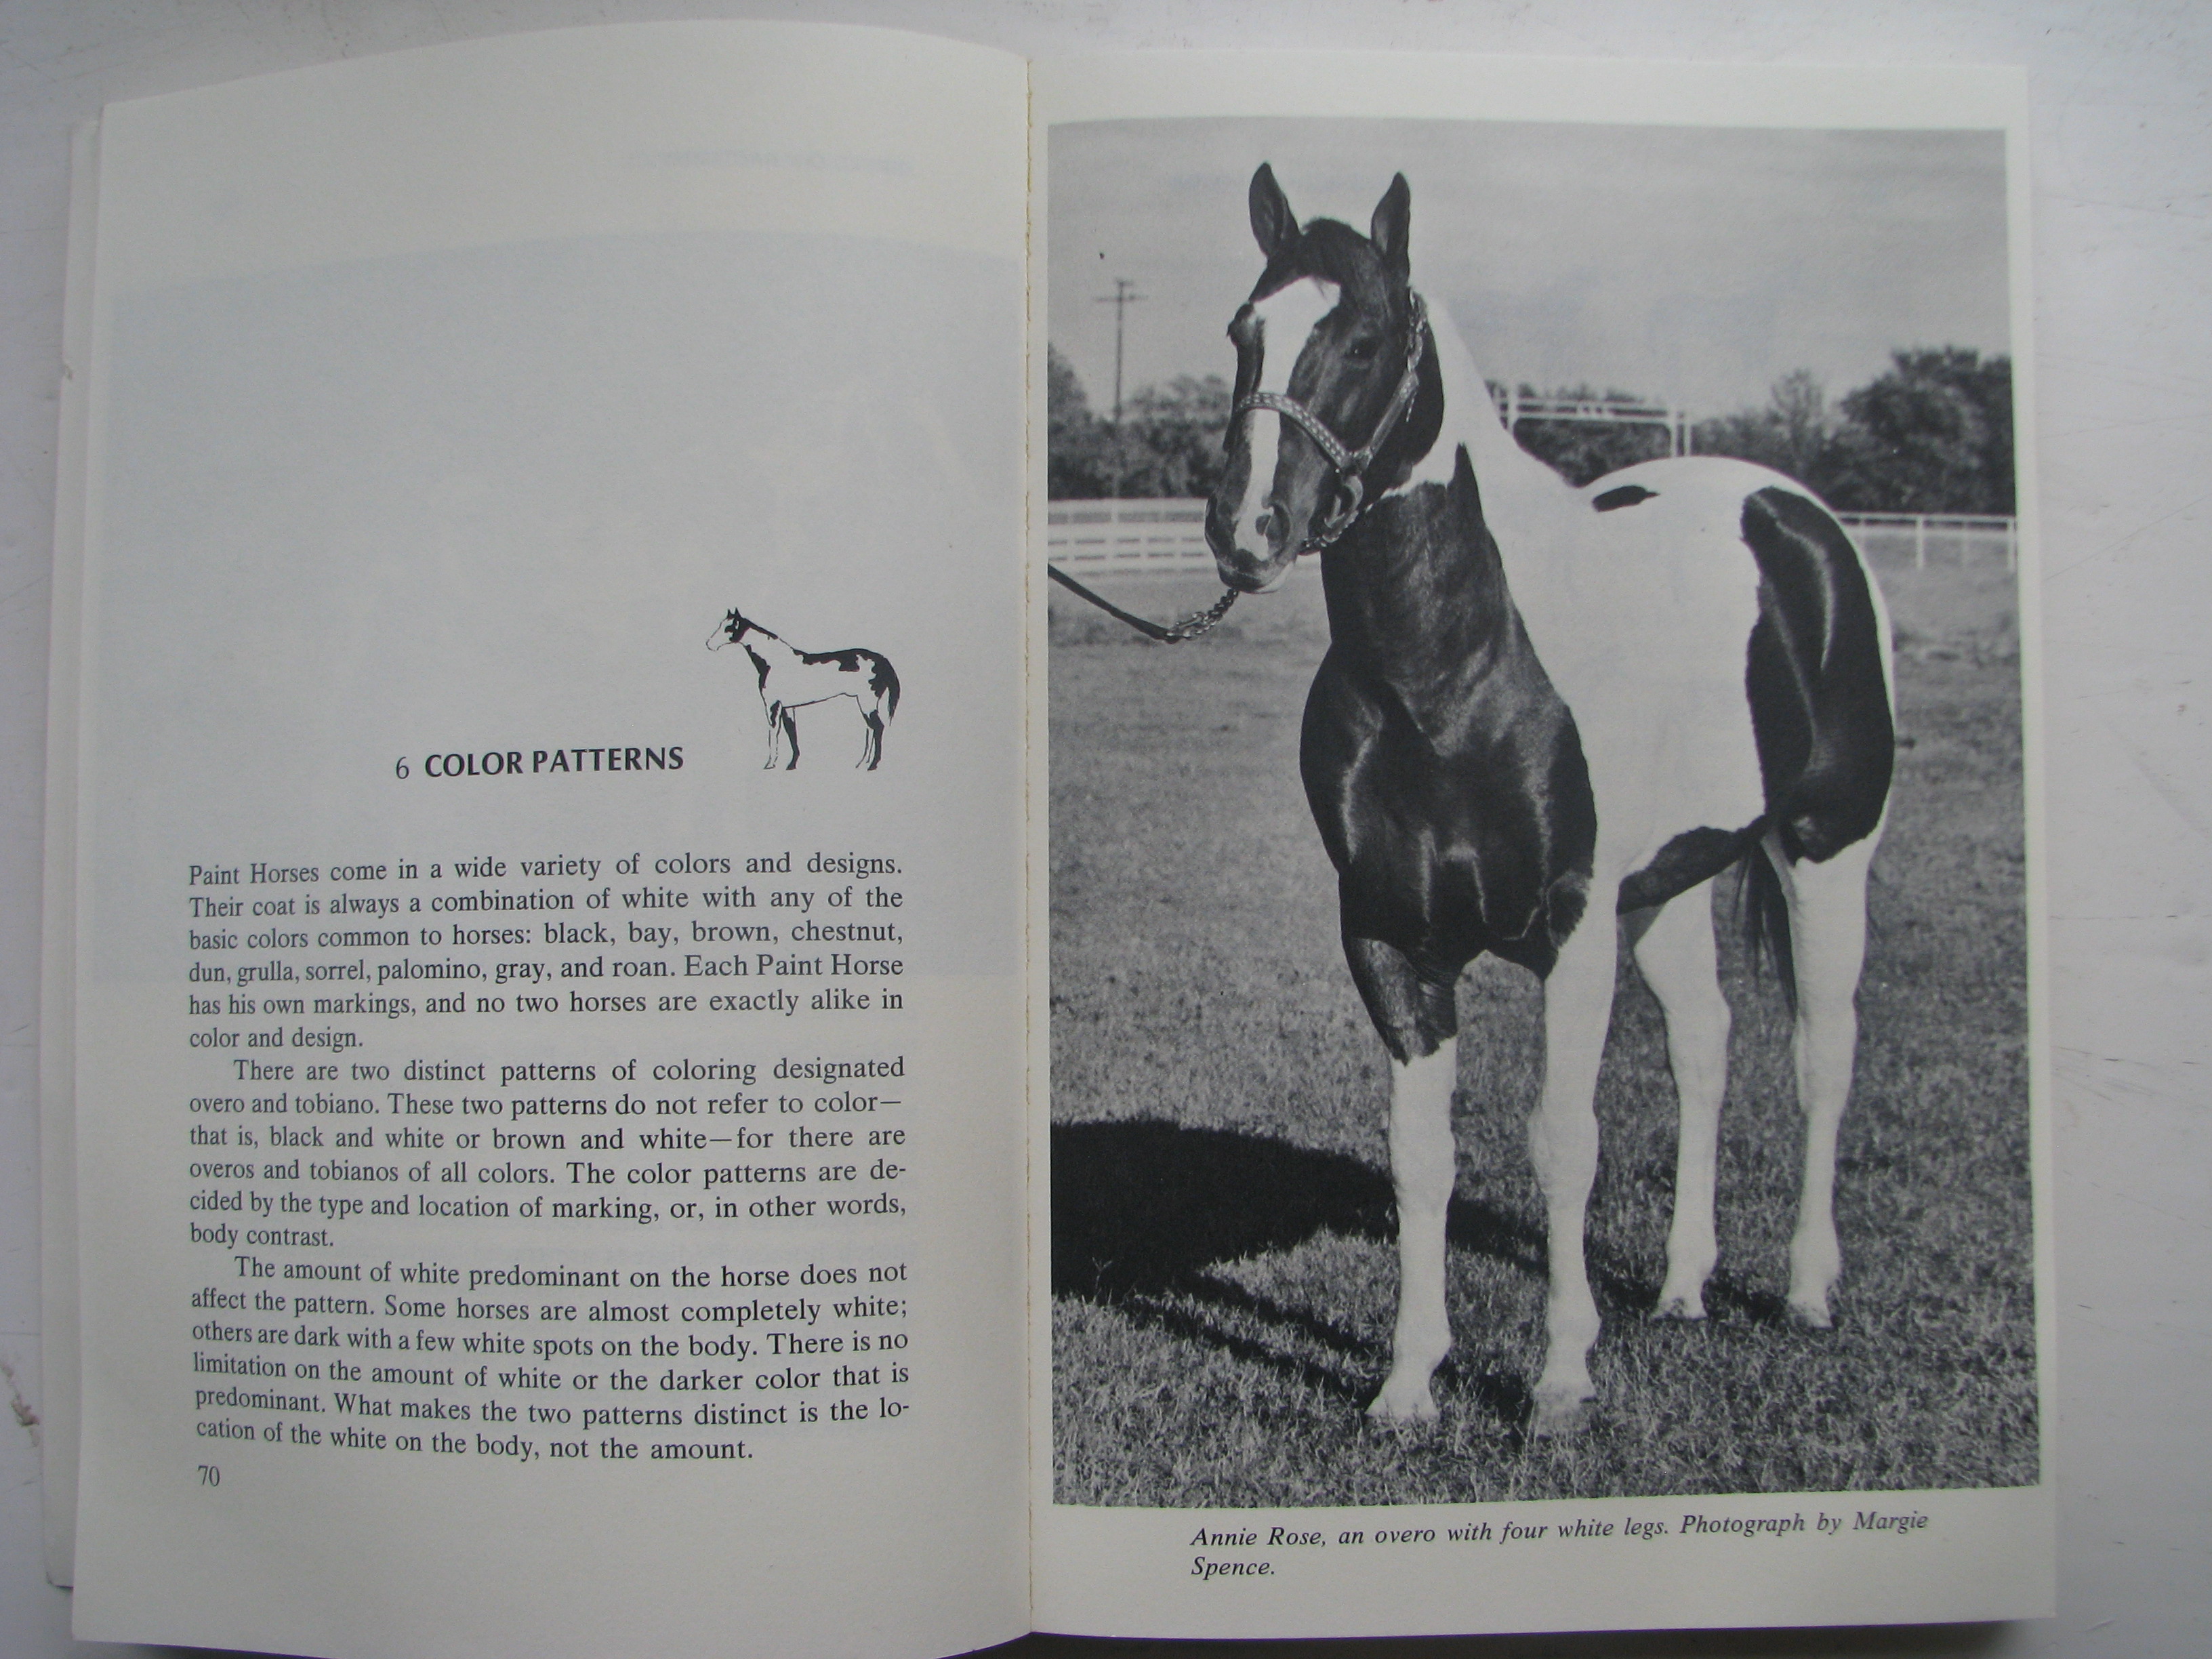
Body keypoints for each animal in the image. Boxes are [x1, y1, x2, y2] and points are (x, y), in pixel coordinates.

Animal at [707, 608, 900, 770]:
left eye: (728, 628)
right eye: (721, 625)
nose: (709, 644)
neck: (774, 663)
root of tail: (881, 660)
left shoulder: (773, 705)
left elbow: (774, 732)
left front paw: (770, 764)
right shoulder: (787, 707)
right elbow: (792, 733)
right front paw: (792, 764)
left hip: (867, 701)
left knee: (878, 727)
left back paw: (873, 765)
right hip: (863, 701)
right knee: (870, 729)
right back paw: (862, 763)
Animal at [1207, 166, 1893, 1437]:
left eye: (1366, 339)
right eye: (1242, 332)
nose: (1246, 530)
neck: (1455, 671)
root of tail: (1790, 516)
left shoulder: (1570, 932)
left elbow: (1562, 1140)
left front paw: (1562, 1376)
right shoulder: (1388, 938)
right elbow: (1421, 1156)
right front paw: (1407, 1381)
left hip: (1826, 850)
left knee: (1821, 1053)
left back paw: (1806, 1289)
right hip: (1667, 886)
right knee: (1706, 1046)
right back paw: (1682, 1285)